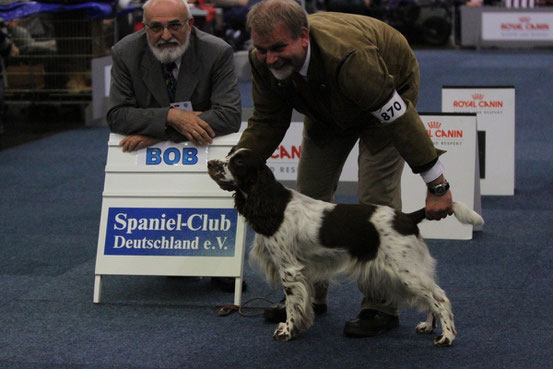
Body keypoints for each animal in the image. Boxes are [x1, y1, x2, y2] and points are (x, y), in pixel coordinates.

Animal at [206, 147, 484, 344]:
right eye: (229, 153)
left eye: (238, 162)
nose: (210, 163)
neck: (272, 203)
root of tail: (407, 217)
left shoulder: (290, 268)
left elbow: (294, 305)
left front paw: (287, 331)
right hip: (411, 270)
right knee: (432, 298)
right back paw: (428, 326)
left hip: (406, 270)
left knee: (440, 297)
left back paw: (447, 336)